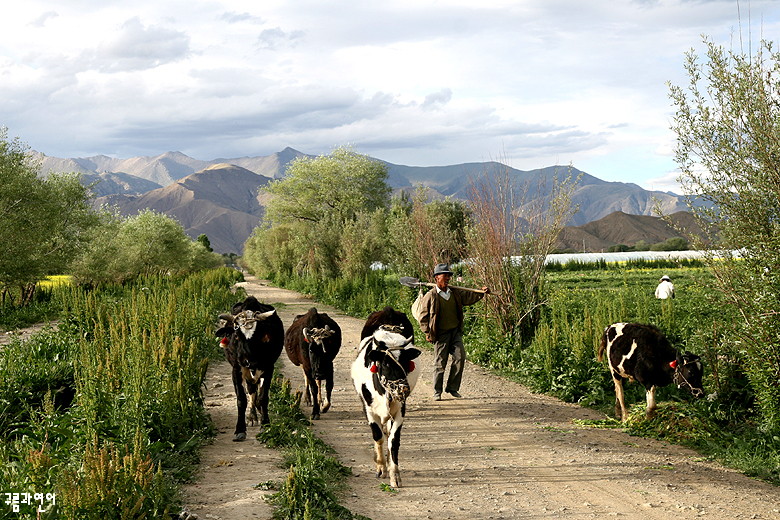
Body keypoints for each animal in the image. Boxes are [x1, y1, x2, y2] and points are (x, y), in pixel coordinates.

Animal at [215, 296, 284, 438]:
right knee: (251, 389)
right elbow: (241, 399)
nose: (249, 361)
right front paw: (240, 429)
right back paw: (252, 417)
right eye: (236, 336)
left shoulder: (268, 368)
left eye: (259, 336)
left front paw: (265, 424)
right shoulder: (236, 370)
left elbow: (263, 398)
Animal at [350, 324, 420, 488]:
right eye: (386, 363)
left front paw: (394, 474)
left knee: (388, 434)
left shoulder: (400, 411)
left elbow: (393, 441)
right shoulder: (369, 410)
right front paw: (381, 468)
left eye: (406, 362)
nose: (403, 389)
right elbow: (378, 437)